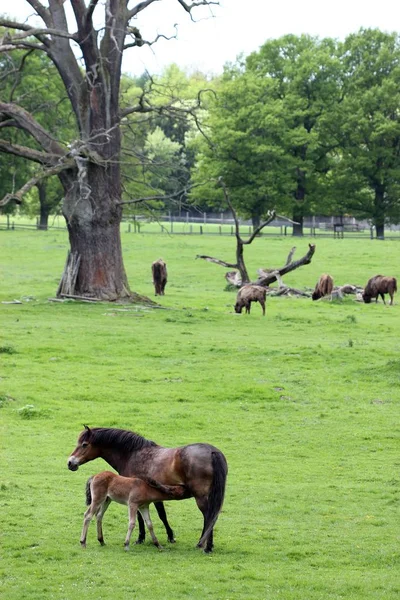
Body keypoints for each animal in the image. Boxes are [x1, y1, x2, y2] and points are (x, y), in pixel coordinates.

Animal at [67, 426, 227, 552]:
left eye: (84, 444)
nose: (70, 463)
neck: (133, 454)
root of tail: (213, 452)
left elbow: (146, 517)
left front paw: (141, 538)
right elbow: (159, 516)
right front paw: (168, 536)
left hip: (200, 497)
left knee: (209, 516)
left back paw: (205, 545)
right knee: (212, 516)